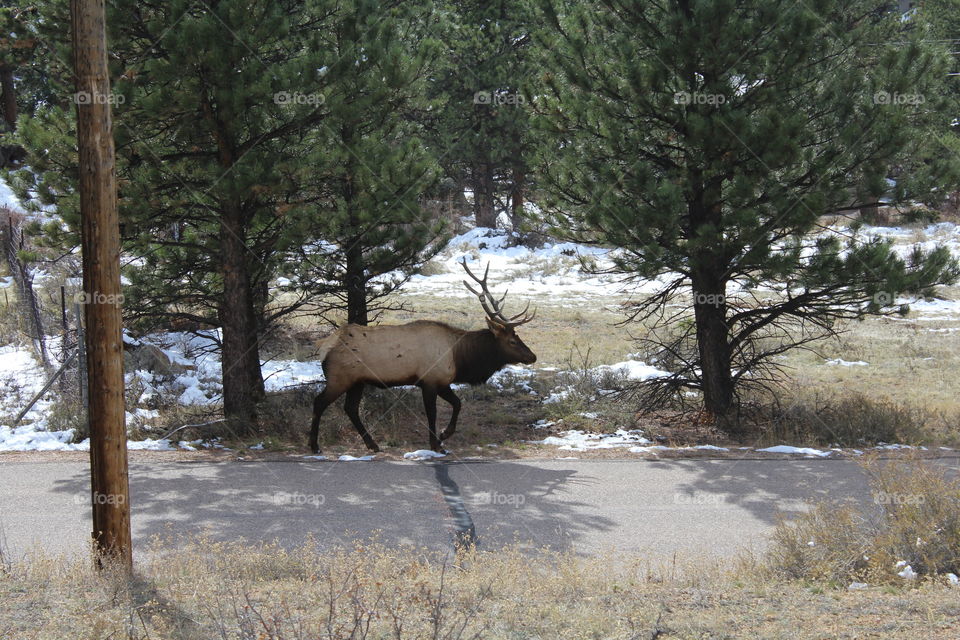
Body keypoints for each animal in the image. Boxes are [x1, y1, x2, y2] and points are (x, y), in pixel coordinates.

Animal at [308, 259, 537, 455]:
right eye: (512, 341)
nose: (532, 357)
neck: (460, 357)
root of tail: (324, 346)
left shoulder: (442, 382)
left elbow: (457, 403)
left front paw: (443, 435)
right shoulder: (430, 381)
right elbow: (433, 413)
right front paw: (437, 443)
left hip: (357, 381)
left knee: (351, 408)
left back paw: (372, 444)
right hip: (339, 378)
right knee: (319, 402)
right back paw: (315, 446)